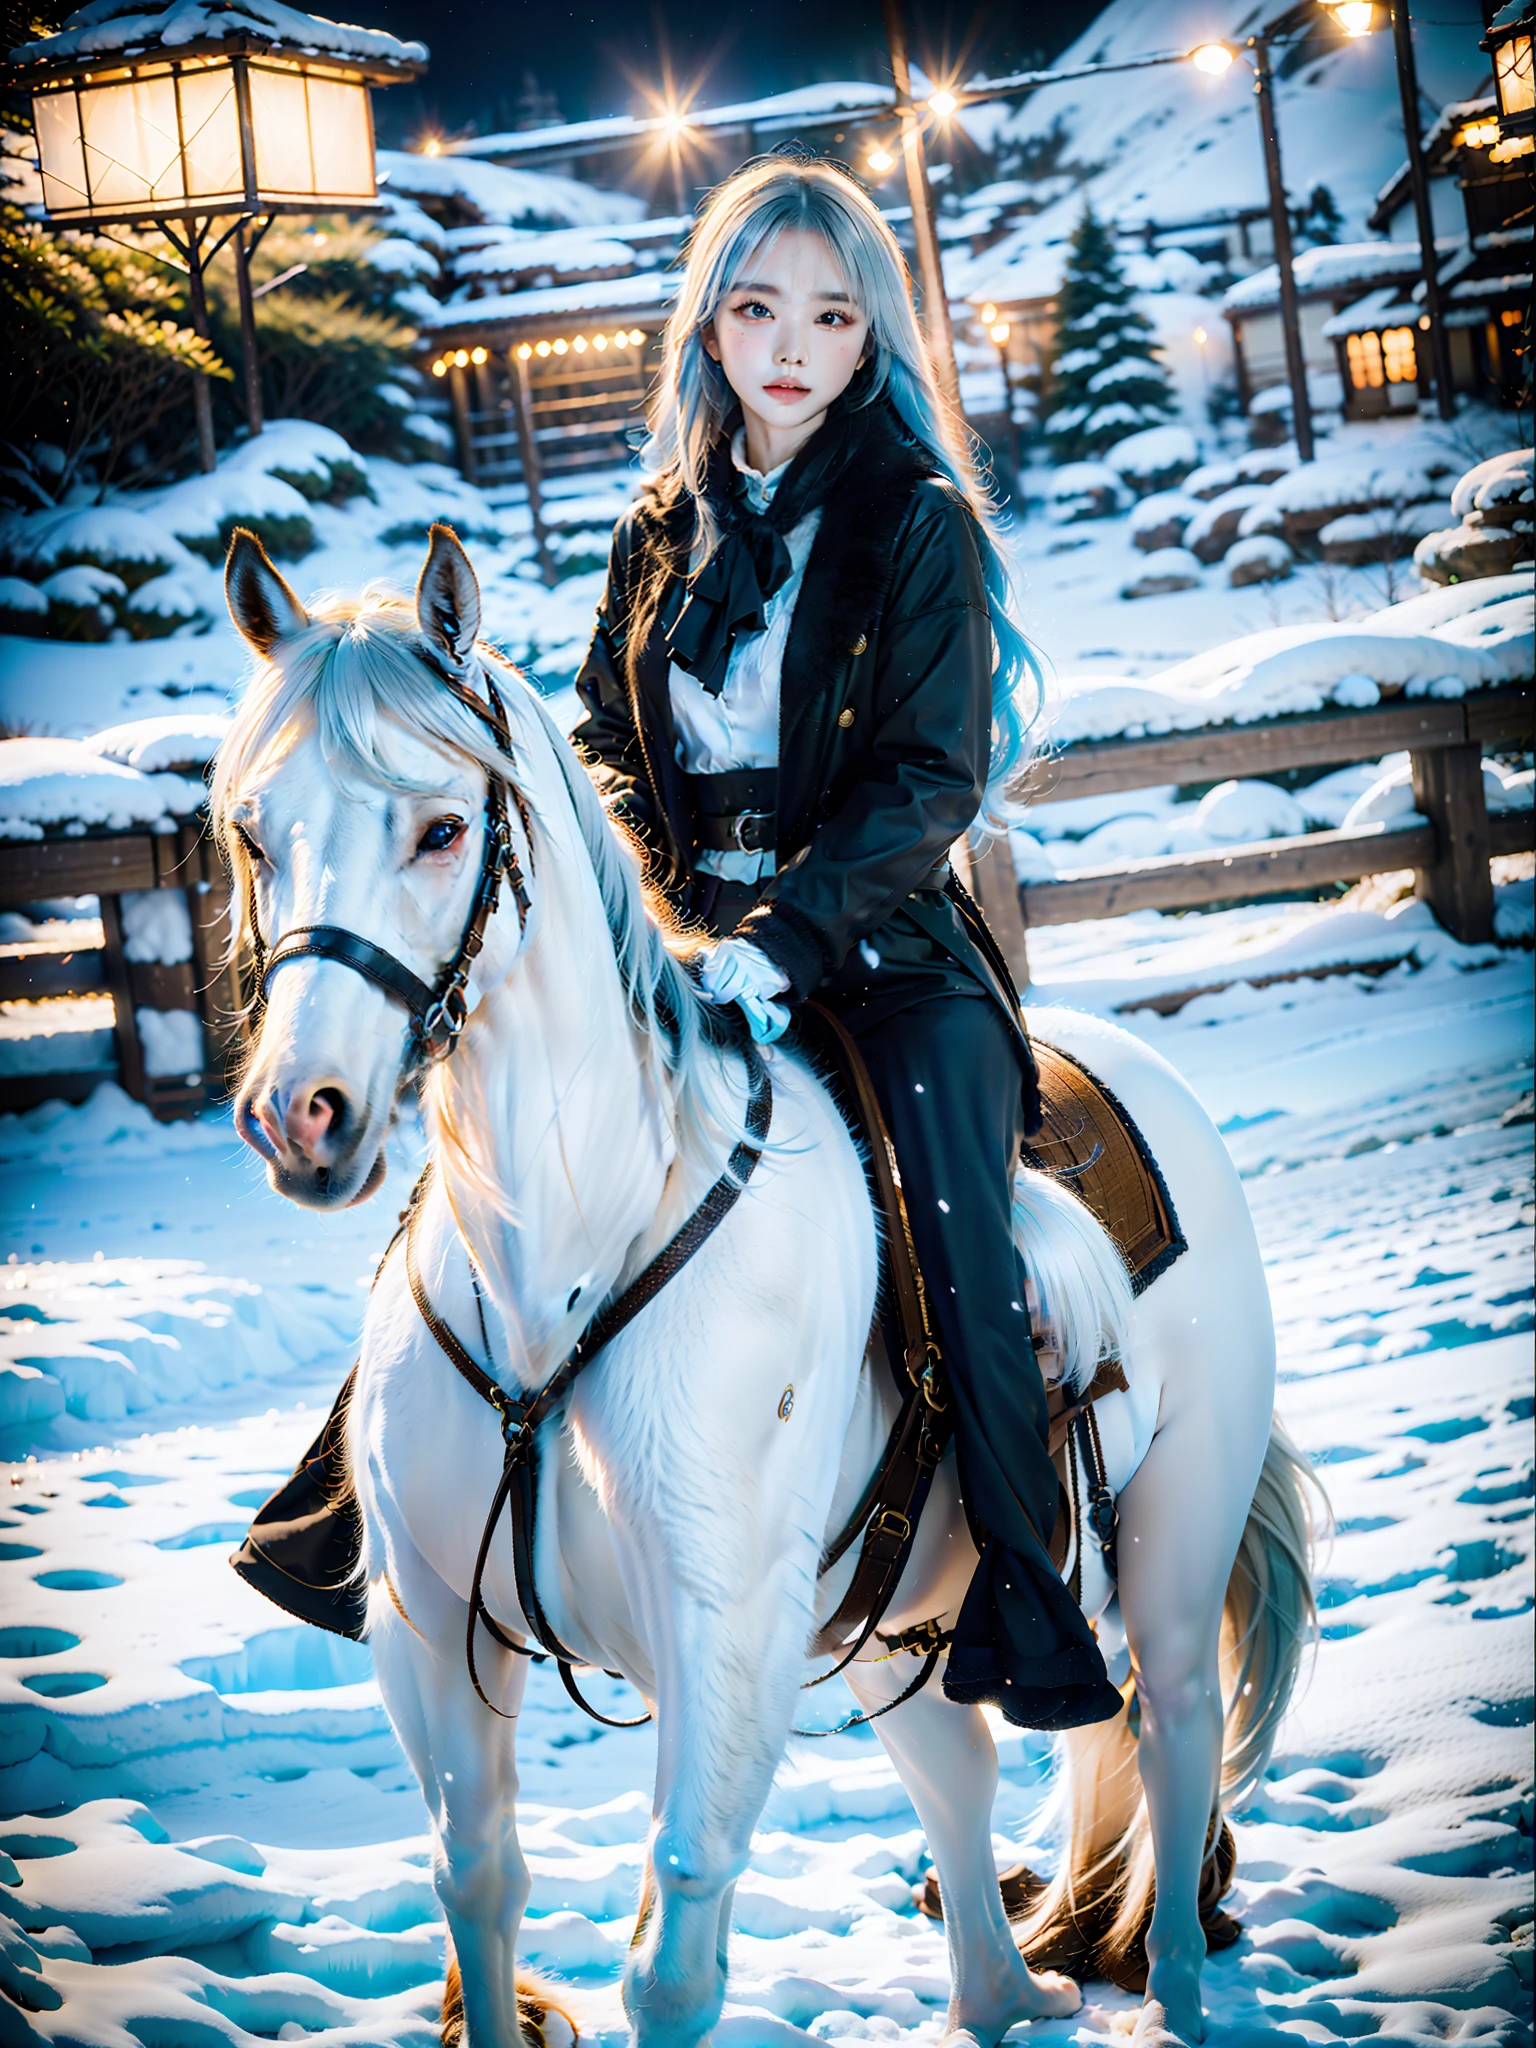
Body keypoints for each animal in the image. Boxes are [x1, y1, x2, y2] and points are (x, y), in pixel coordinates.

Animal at [219, 528, 1327, 2048]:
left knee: (1168, 1735)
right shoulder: (425, 1629)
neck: (567, 1261)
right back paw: (1003, 1991)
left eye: (441, 829)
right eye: (256, 835)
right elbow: (477, 1883)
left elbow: (674, 1953)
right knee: (957, 1768)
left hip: (1167, 1544)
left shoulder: (725, 1633)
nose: (303, 1115)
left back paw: (1175, 1995)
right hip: (893, 1612)